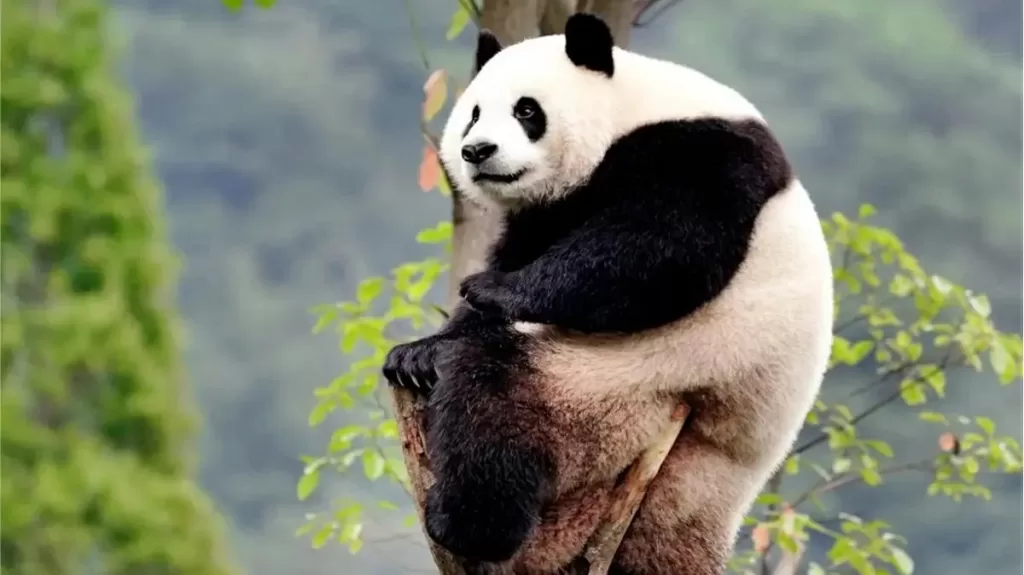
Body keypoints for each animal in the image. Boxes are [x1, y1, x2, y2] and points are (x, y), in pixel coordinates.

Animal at [382, 13, 834, 575]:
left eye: (526, 110)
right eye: (474, 114)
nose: (477, 151)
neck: (631, 108)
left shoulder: (705, 154)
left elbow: (659, 252)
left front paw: (493, 290)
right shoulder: (549, 211)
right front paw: (416, 354)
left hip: (624, 390)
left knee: (497, 395)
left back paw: (465, 525)